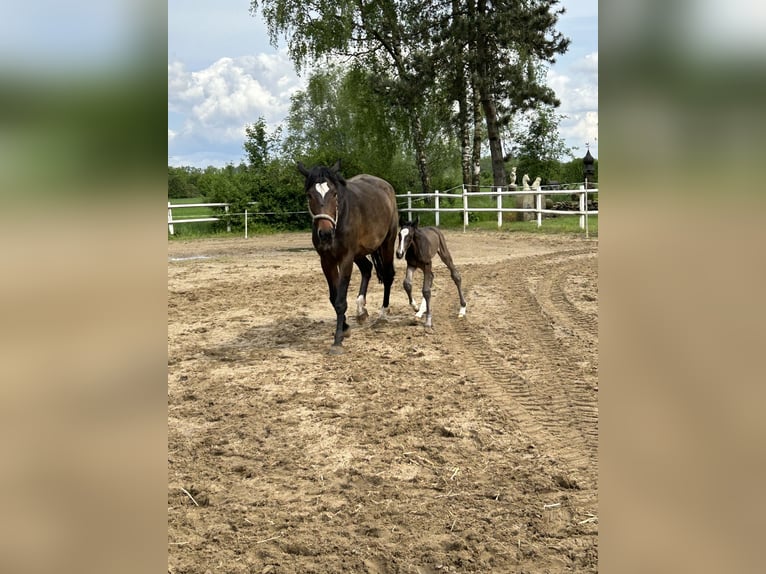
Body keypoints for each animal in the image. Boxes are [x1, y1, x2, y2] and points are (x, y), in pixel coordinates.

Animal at [296, 160, 400, 354]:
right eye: (309, 195)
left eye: (334, 193)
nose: (325, 234)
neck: (340, 216)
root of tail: (386, 187)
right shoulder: (326, 260)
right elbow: (334, 296)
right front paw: (345, 328)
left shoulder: (345, 259)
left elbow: (340, 300)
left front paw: (338, 340)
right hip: (359, 253)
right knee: (367, 269)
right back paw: (361, 311)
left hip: (387, 243)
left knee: (388, 275)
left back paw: (382, 315)